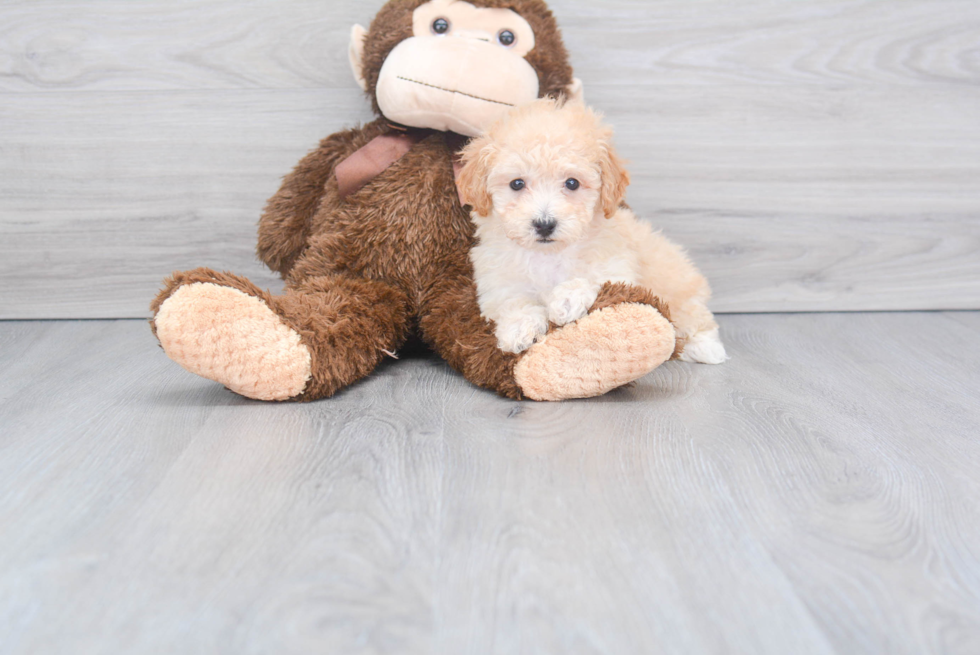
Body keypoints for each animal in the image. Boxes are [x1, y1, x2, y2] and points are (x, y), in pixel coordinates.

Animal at [460, 98, 728, 364]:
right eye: (516, 184)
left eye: (572, 183)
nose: (544, 224)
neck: (549, 255)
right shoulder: (499, 285)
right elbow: (514, 302)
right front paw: (518, 328)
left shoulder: (617, 266)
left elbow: (594, 280)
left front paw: (567, 299)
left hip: (681, 288)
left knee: (697, 318)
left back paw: (705, 348)